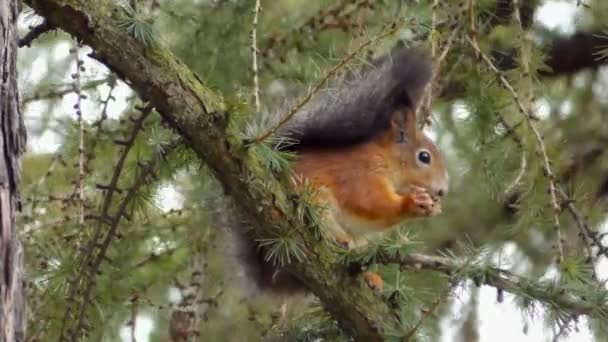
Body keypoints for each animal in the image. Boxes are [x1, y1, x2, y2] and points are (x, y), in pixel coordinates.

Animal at [223, 46, 446, 294]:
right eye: (424, 157)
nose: (442, 191)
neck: (387, 160)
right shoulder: (361, 172)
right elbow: (369, 201)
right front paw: (412, 203)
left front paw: (432, 207)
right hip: (316, 203)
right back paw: (338, 241)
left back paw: (371, 278)